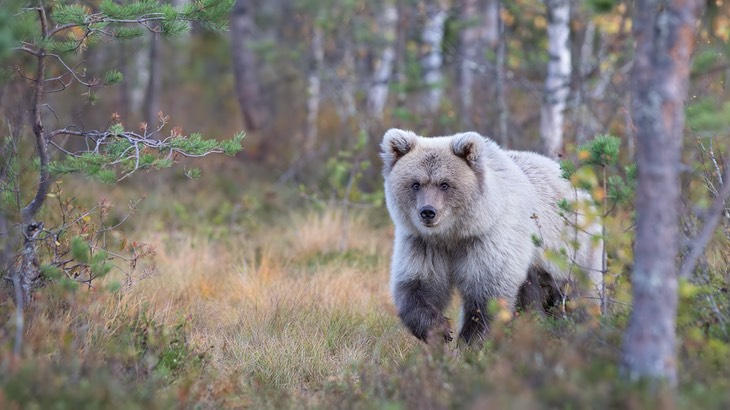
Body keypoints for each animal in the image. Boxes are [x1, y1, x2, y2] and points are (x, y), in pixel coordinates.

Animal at [382, 128, 604, 342]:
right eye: (416, 183)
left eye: (444, 184)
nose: (428, 212)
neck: (455, 233)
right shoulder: (423, 243)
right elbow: (417, 284)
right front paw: (439, 328)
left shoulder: (491, 238)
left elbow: (488, 292)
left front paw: (471, 339)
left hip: (573, 253)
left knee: (577, 297)